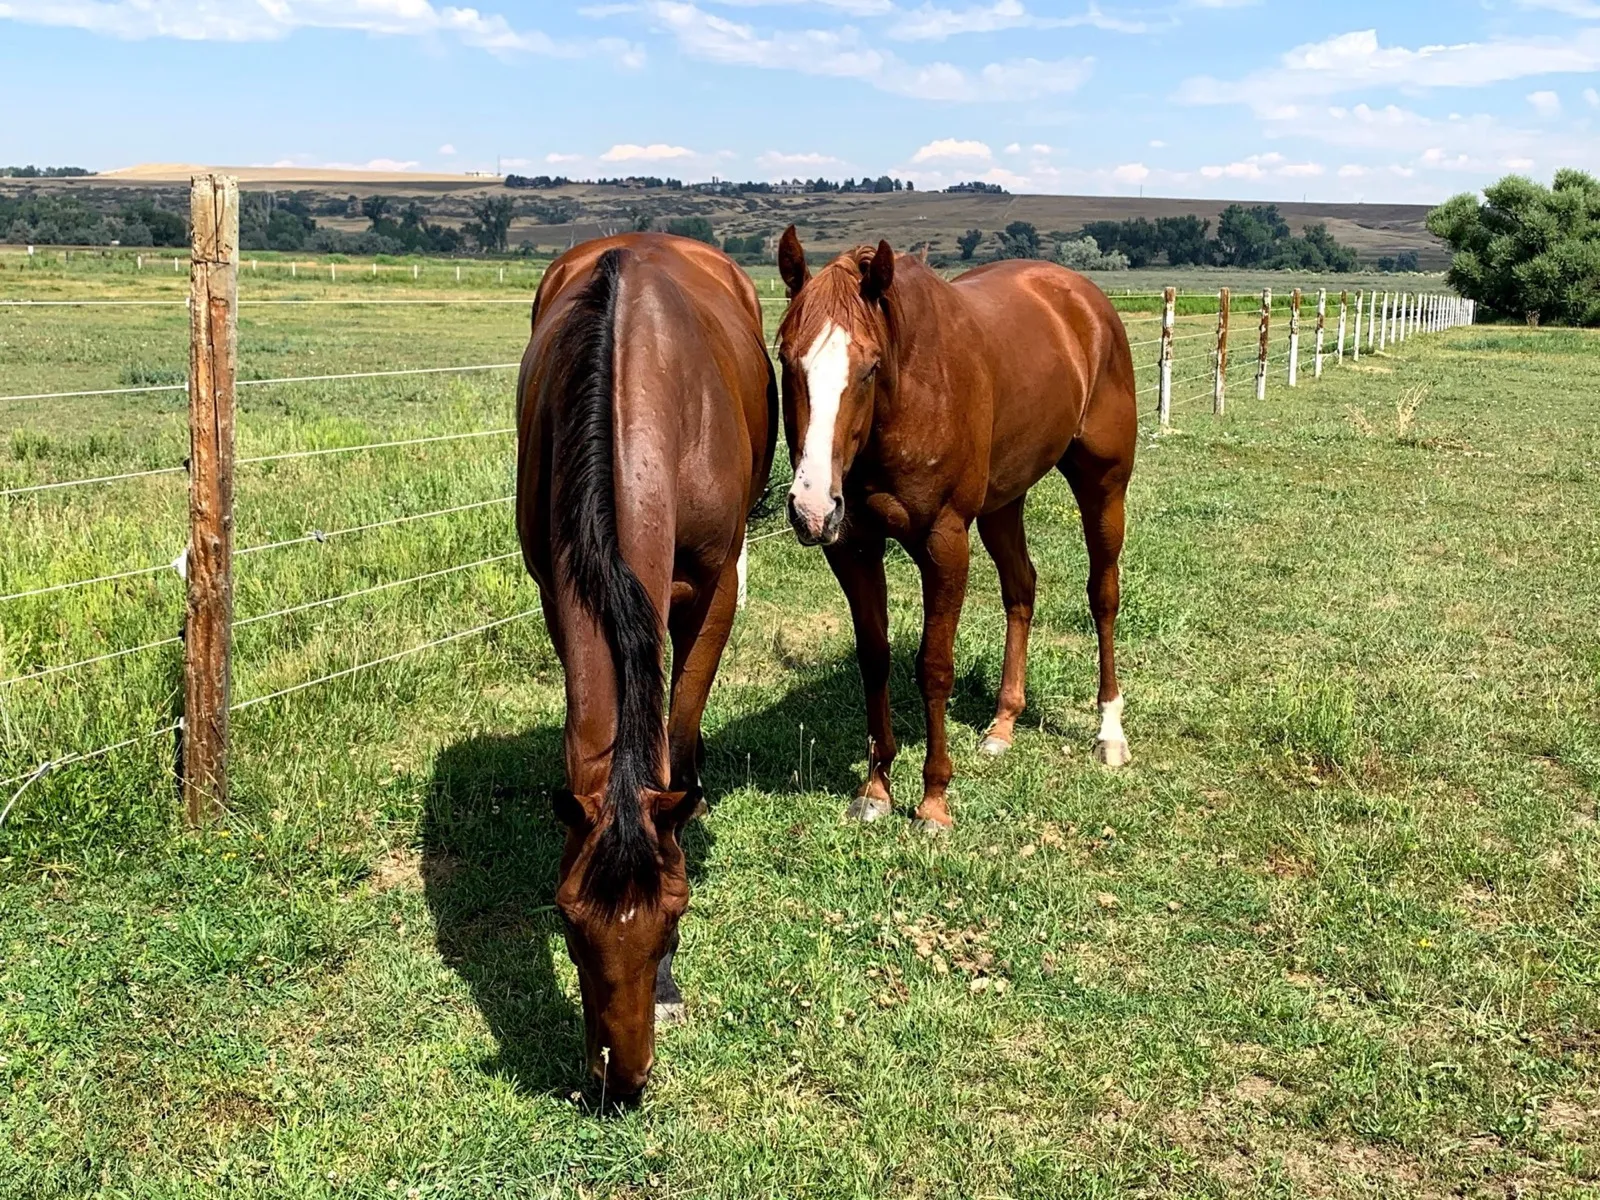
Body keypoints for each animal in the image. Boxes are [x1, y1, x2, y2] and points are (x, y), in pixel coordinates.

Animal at [515, 233, 777, 1101]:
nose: (620, 1081)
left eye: (676, 918)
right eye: (567, 922)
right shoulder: (560, 587)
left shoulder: (714, 586)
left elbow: (679, 729)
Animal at [775, 226, 1137, 832]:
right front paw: (876, 787)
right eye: (786, 358)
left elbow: (933, 667)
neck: (909, 395)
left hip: (1103, 488)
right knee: (1021, 588)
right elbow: (874, 659)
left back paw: (1109, 733)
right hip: (1003, 503)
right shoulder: (853, 547)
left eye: (870, 367)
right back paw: (1003, 725)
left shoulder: (944, 545)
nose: (812, 507)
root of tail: (1083, 299)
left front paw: (933, 801)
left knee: (1102, 596)